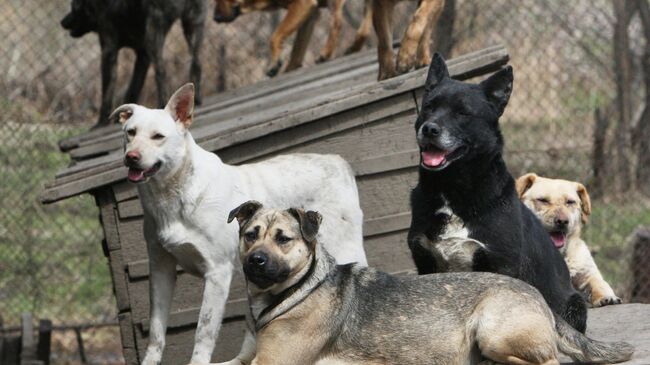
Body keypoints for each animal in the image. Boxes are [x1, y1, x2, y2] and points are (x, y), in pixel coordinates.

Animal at [61, 0, 205, 127]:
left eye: (73, 6)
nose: (62, 22)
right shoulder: (143, 55)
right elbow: (134, 87)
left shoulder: (108, 51)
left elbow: (107, 92)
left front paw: (101, 122)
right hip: (193, 27)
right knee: (196, 64)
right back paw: (197, 99)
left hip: (153, 36)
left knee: (161, 72)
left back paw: (163, 103)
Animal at [110, 84, 364, 362]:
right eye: (130, 133)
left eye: (158, 136)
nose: (131, 157)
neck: (173, 194)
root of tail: (337, 161)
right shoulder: (160, 268)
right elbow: (156, 330)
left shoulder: (216, 273)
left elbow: (204, 332)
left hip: (346, 249)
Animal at [512, 173, 620, 308]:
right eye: (543, 200)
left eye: (570, 202)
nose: (562, 221)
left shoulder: (586, 274)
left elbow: (599, 283)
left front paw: (607, 297)